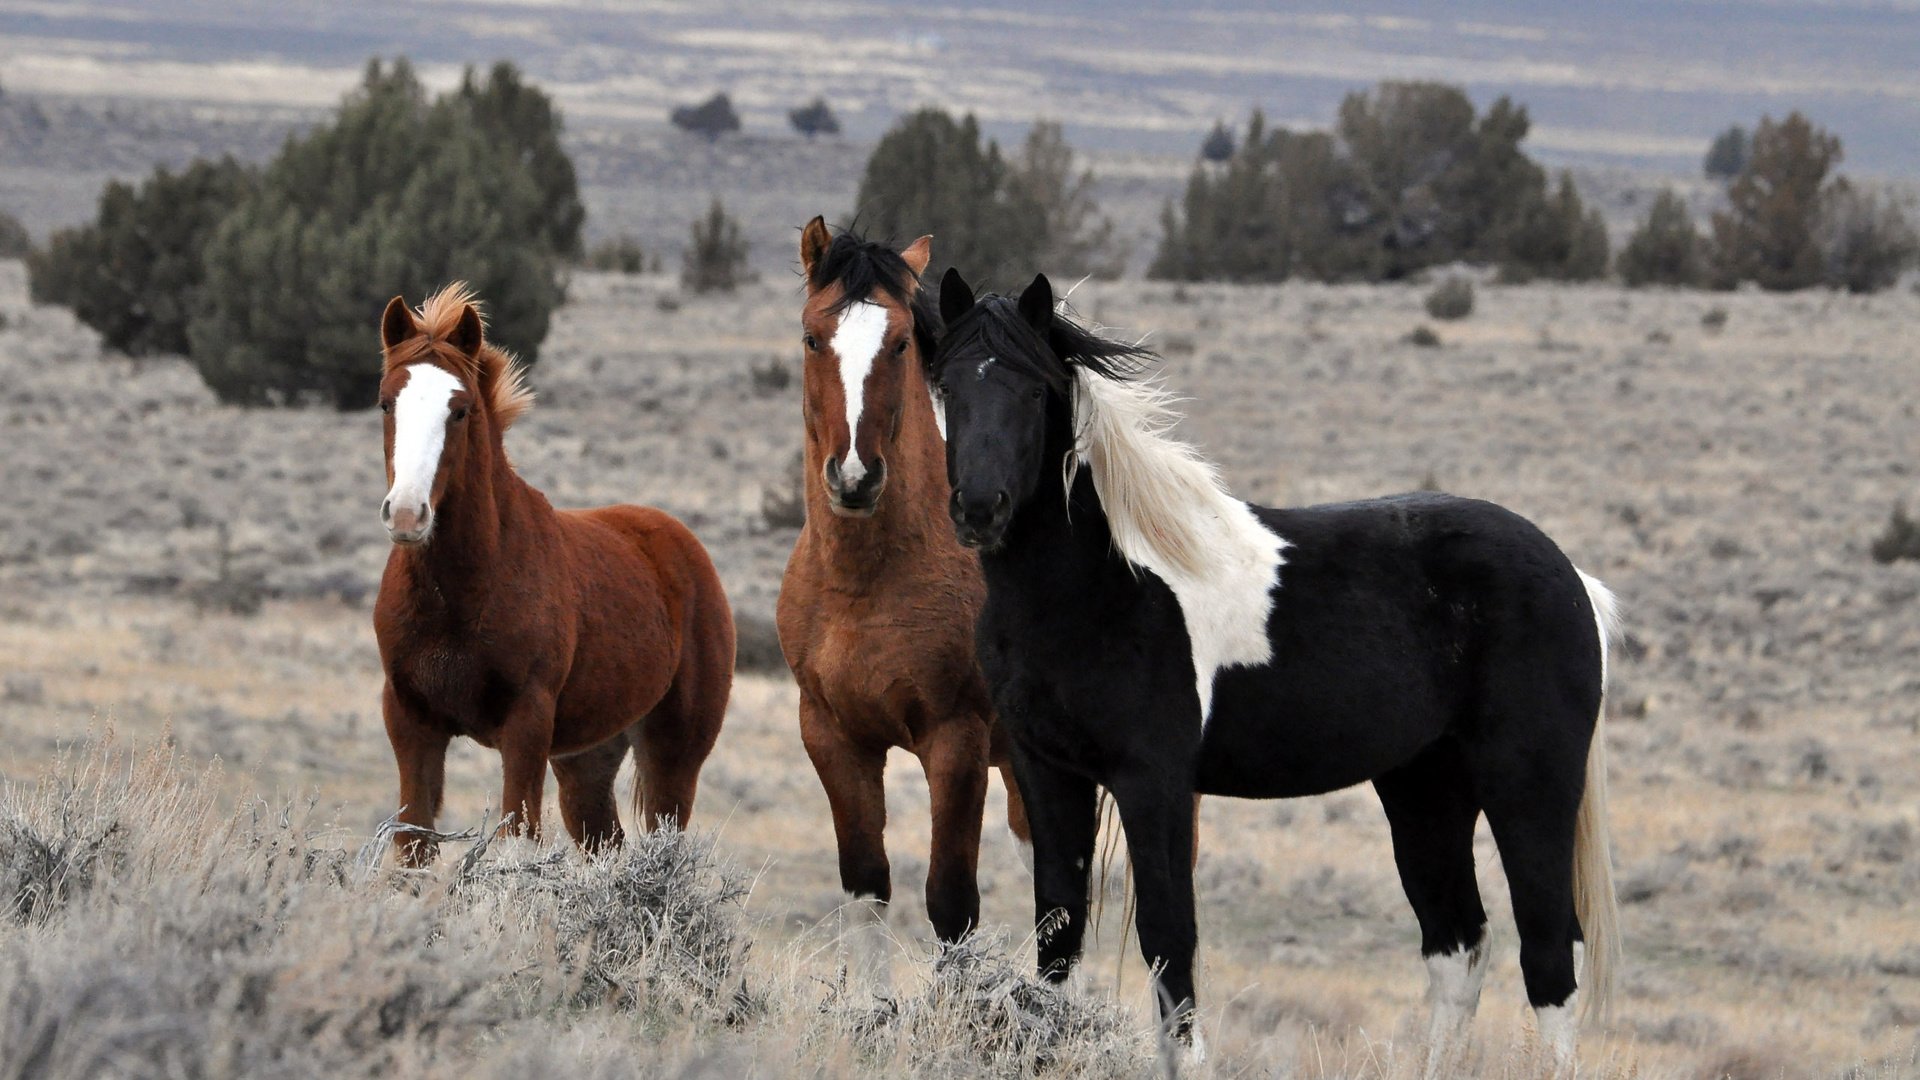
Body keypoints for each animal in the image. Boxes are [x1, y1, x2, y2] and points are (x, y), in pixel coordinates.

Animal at [372, 282, 733, 860]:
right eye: (387, 403)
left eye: (460, 410)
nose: (407, 514)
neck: (460, 594)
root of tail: (683, 545)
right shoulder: (411, 721)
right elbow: (412, 845)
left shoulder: (527, 726)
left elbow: (517, 837)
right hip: (585, 760)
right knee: (606, 842)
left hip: (673, 756)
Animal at [771, 214, 1029, 953]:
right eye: (812, 336)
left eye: (901, 341)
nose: (855, 476)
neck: (864, 585)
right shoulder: (835, 739)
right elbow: (867, 891)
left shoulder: (955, 741)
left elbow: (952, 906)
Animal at [929, 270, 1620, 1068]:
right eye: (946, 384)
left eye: (1033, 388)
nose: (980, 508)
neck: (1102, 584)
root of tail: (1572, 578)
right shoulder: (1047, 772)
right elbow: (1059, 935)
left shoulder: (1153, 782)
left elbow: (1170, 941)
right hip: (1425, 788)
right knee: (1458, 947)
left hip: (1528, 788)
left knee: (1549, 955)